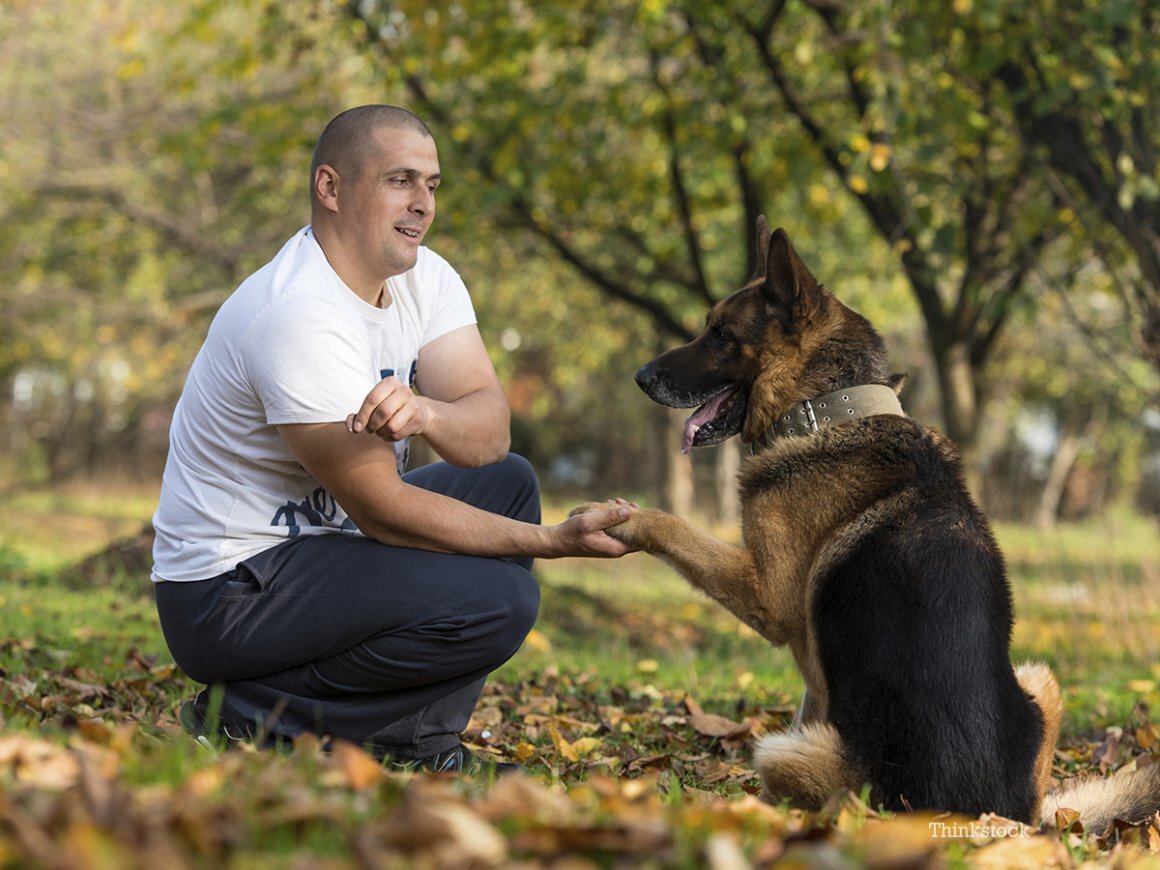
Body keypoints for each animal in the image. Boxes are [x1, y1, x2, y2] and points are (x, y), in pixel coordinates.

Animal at [573, 218, 1160, 830]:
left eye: (719, 334)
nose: (640, 377)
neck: (829, 408)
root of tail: (981, 819)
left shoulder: (767, 595)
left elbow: (676, 527)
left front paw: (616, 518)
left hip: (784, 753)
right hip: (1041, 681)